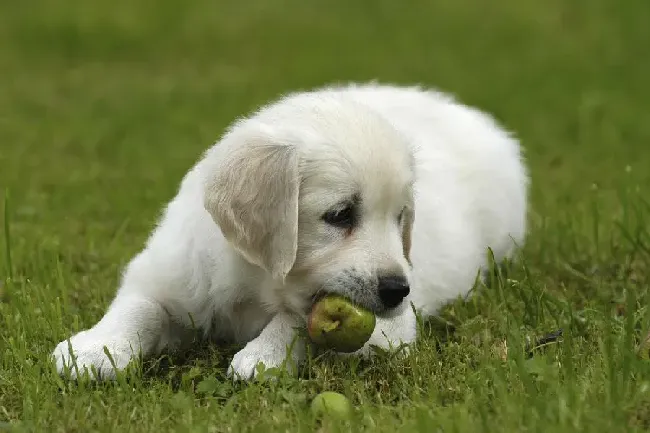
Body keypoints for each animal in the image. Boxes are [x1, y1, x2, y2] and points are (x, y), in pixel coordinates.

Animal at [52, 82, 528, 380]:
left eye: (400, 218)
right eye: (340, 215)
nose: (398, 290)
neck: (255, 281)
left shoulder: (389, 332)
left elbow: (299, 319)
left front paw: (262, 357)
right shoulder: (168, 272)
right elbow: (139, 307)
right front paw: (95, 348)